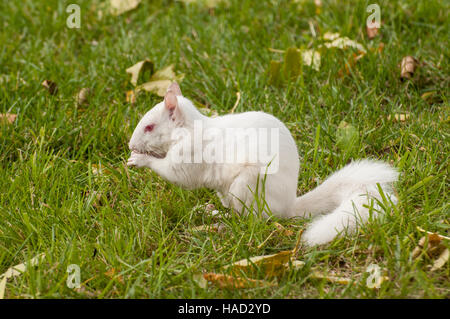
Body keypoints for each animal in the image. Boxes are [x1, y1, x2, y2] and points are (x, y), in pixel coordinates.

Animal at [127, 83, 398, 248]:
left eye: (149, 127)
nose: (130, 144)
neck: (188, 129)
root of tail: (287, 207)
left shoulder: (190, 155)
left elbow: (176, 174)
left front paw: (140, 159)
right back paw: (213, 212)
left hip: (247, 186)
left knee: (251, 221)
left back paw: (219, 224)